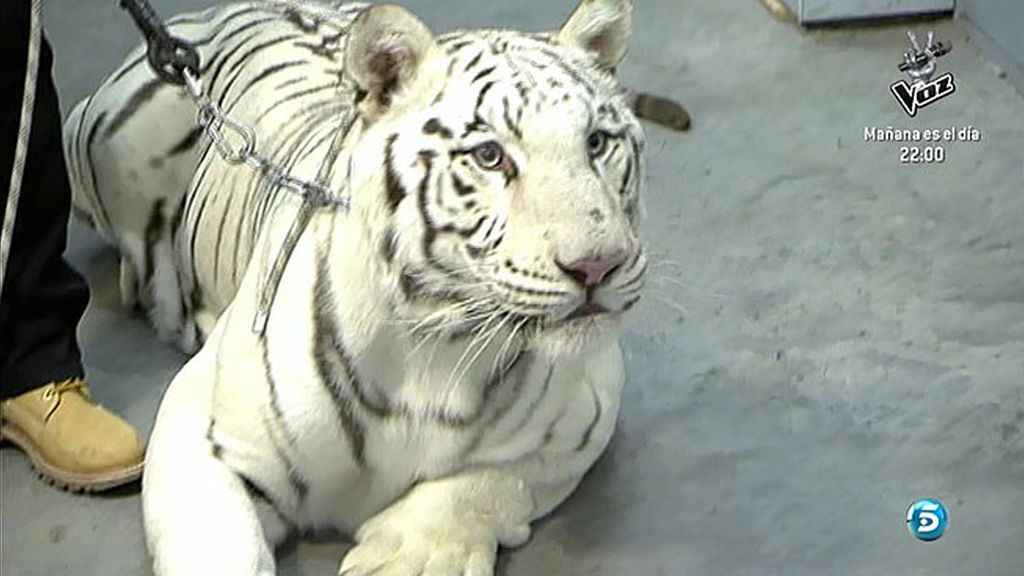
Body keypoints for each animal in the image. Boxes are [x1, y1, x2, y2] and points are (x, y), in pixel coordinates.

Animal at [64, 0, 654, 574]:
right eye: (490, 156)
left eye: (596, 143)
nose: (599, 266)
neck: (439, 340)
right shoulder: (199, 421)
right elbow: (220, 547)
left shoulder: (585, 412)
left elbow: (487, 482)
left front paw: (409, 557)